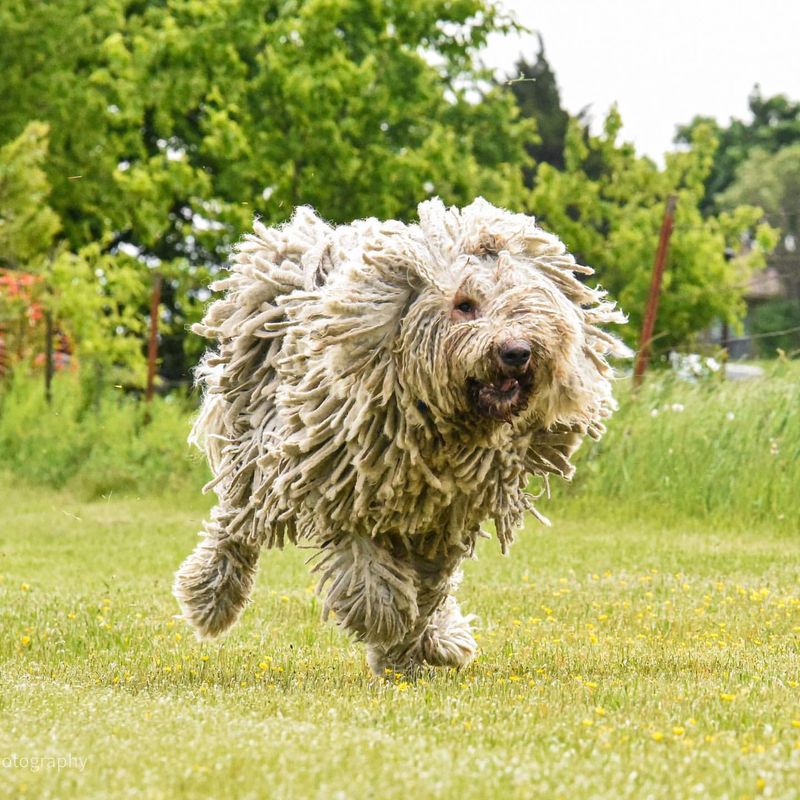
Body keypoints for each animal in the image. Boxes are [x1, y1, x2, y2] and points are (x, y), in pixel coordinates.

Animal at [172, 197, 628, 672]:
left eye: (526, 303)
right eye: (465, 304)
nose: (517, 351)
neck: (437, 425)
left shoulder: (446, 517)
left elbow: (429, 588)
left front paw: (429, 643)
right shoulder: (339, 487)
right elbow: (371, 580)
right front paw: (390, 628)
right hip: (260, 437)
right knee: (237, 516)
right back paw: (208, 597)